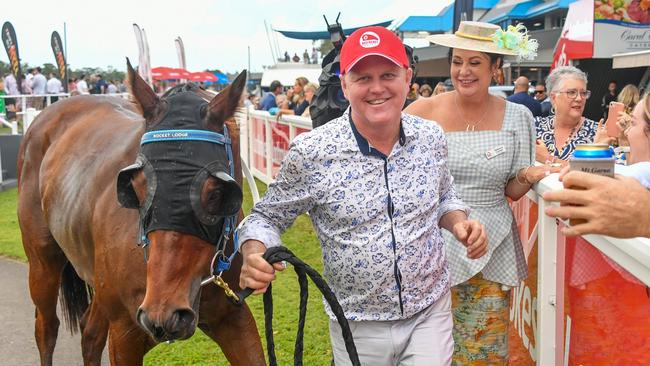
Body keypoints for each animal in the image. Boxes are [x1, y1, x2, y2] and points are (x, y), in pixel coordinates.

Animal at [18, 58, 266, 364]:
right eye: (135, 186)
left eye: (216, 192)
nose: (166, 313)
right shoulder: (125, 332)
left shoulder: (233, 318)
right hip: (43, 262)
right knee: (47, 327)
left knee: (90, 333)